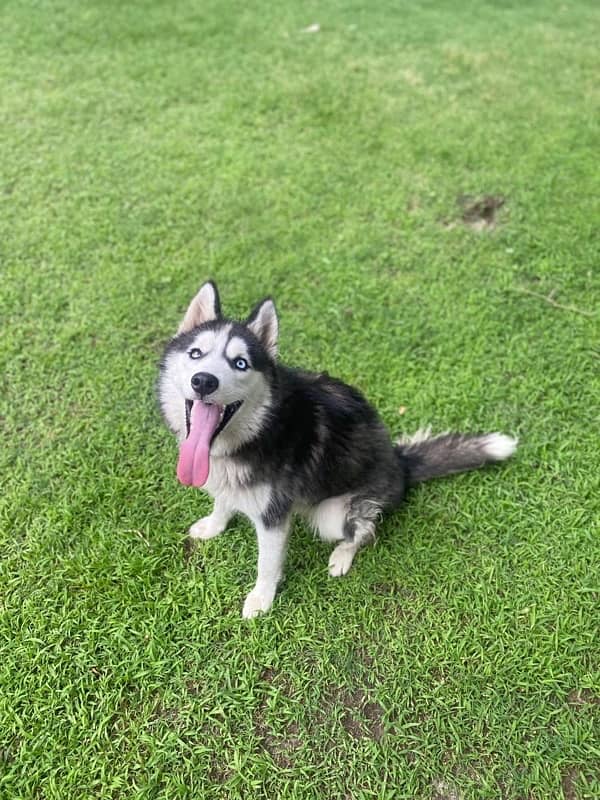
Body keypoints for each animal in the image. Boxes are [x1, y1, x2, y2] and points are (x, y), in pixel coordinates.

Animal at [158, 282, 516, 620]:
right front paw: (213, 526)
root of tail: (400, 463)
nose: (204, 381)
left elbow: (267, 565)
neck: (258, 430)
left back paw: (342, 556)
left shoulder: (273, 517)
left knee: (364, 531)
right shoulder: (227, 480)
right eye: (195, 353)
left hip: (332, 514)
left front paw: (261, 600)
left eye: (240, 363)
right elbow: (222, 502)